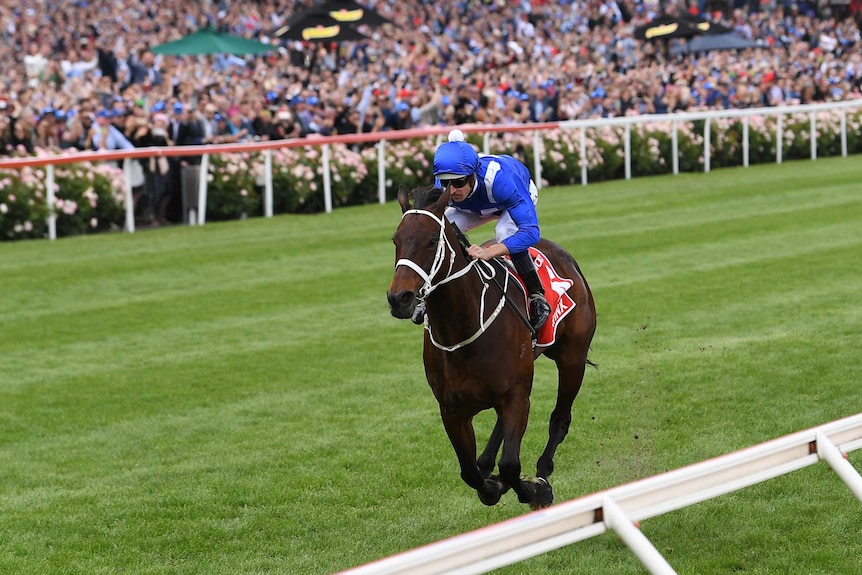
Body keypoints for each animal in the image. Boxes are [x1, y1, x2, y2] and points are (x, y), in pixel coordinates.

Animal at [388, 184, 596, 508]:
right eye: (396, 240)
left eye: (432, 240)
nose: (400, 299)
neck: (460, 329)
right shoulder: (452, 410)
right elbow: (470, 473)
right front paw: (492, 483)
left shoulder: (515, 396)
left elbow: (510, 466)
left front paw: (535, 489)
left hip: (572, 356)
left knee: (560, 420)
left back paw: (542, 473)